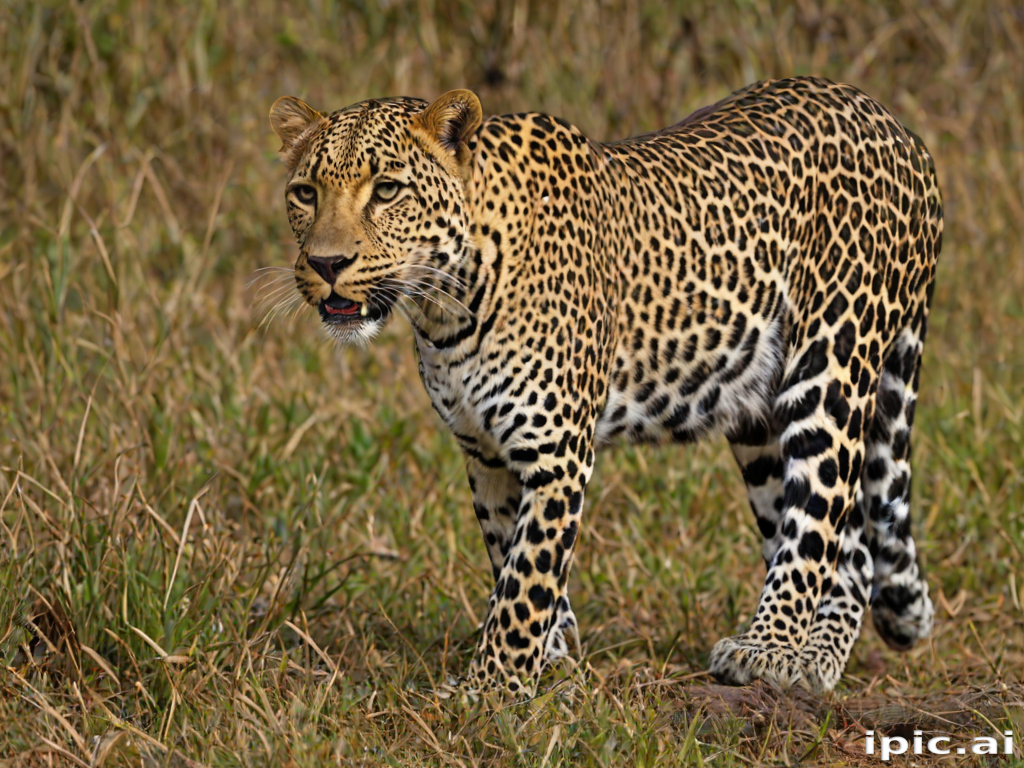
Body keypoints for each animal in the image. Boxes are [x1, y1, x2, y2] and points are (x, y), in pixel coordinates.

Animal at [268, 76, 942, 695]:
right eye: (305, 193)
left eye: (386, 191)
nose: (326, 265)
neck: (447, 308)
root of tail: (898, 128)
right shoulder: (484, 453)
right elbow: (510, 557)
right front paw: (553, 664)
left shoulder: (555, 453)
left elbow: (527, 579)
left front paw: (494, 688)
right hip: (758, 416)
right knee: (851, 549)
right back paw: (809, 657)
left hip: (833, 364)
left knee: (821, 520)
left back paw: (773, 652)